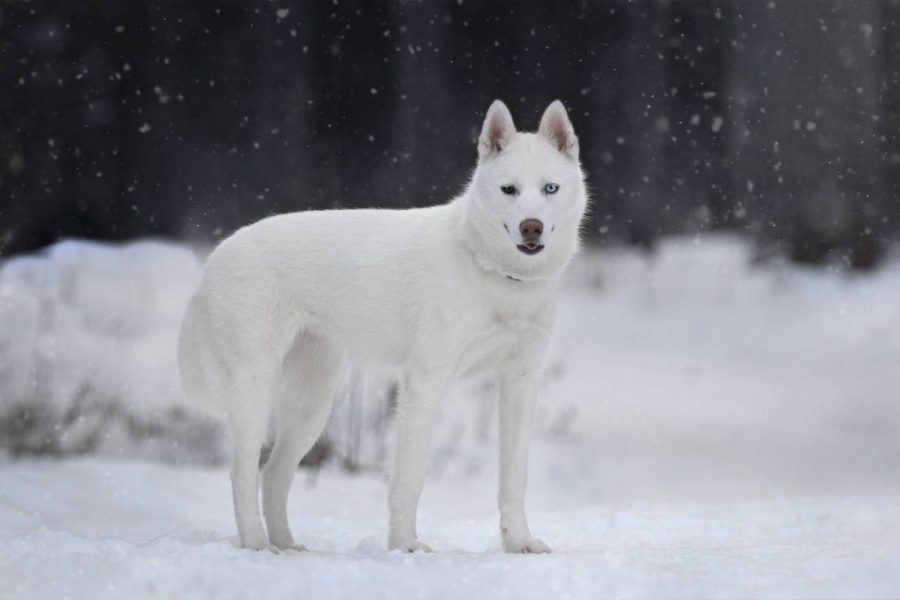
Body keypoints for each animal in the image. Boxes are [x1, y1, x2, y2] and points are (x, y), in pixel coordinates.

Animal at [178, 98, 588, 552]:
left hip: (310, 406)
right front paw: (405, 545)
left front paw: (519, 543)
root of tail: (214, 258)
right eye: (509, 190)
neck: (496, 275)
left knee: (273, 474)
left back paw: (286, 546)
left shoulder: (519, 382)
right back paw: (256, 544)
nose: (531, 227)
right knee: (242, 474)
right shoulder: (425, 383)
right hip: (254, 391)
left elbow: (514, 479)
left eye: (550, 189)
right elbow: (410, 478)